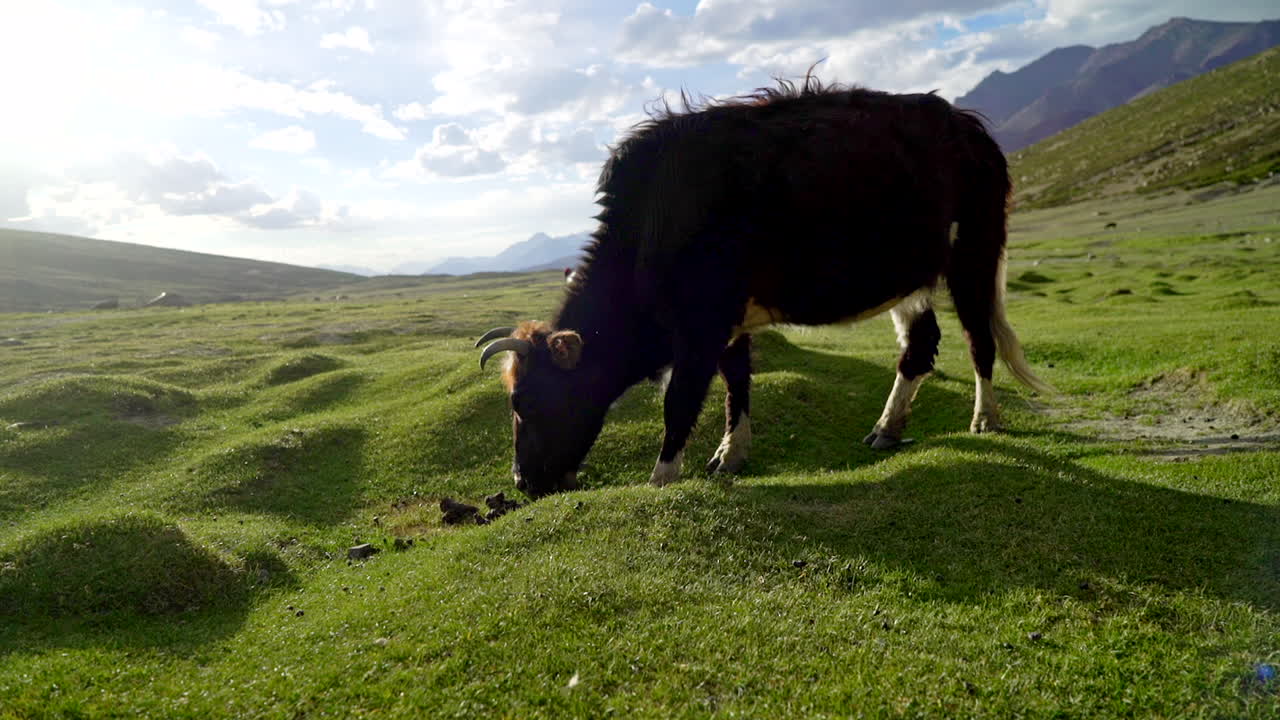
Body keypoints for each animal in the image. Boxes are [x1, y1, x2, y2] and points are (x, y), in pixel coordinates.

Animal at [475, 77, 1053, 499]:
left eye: (524, 400)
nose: (522, 482)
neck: (651, 230)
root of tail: (970, 128)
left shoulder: (703, 324)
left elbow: (682, 400)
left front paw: (661, 480)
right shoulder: (729, 322)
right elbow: (737, 384)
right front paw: (730, 456)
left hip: (974, 253)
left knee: (979, 337)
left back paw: (985, 419)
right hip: (913, 278)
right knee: (920, 345)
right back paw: (887, 428)